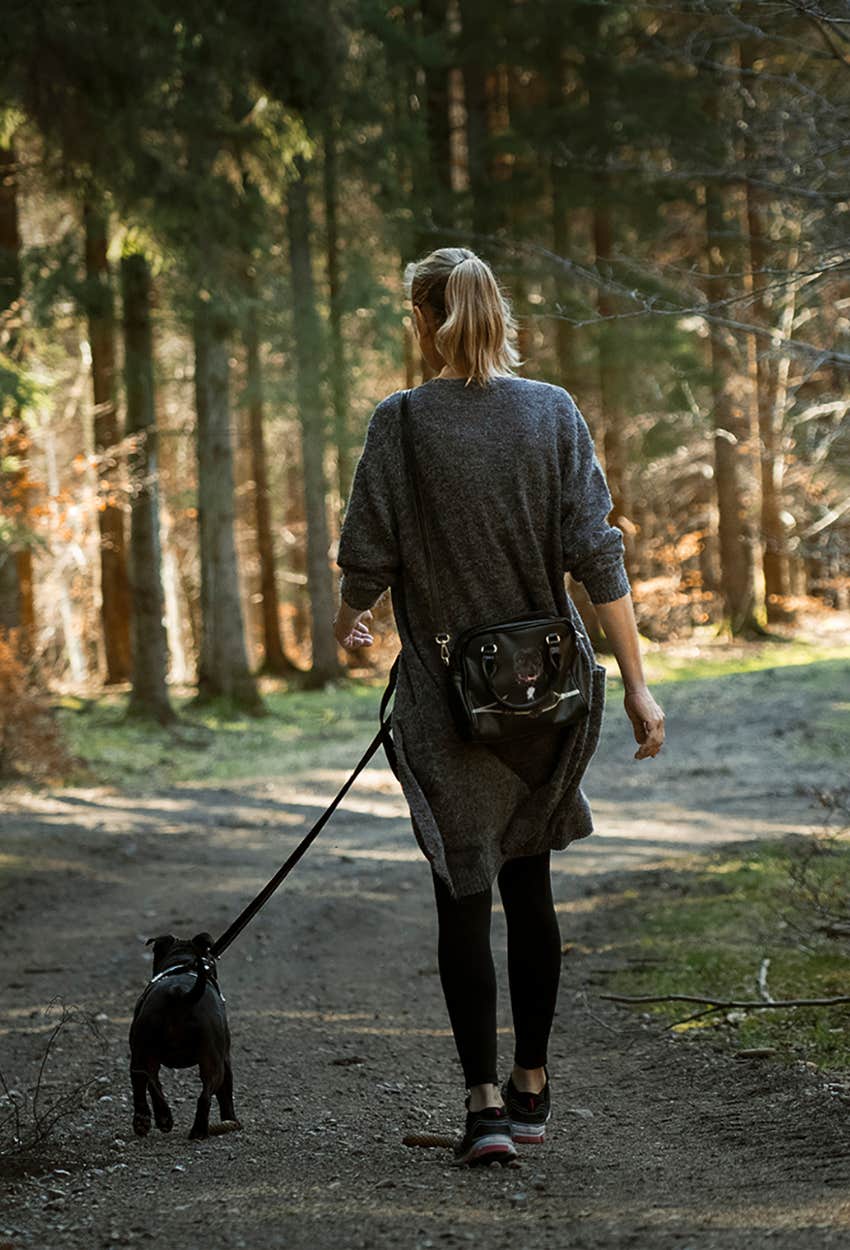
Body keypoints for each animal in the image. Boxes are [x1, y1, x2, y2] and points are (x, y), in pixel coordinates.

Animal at [131, 930, 241, 1145]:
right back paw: (198, 1130)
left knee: (147, 1081)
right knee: (204, 1095)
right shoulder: (226, 1060)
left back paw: (154, 1119)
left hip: (142, 1052)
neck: (182, 963)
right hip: (213, 1061)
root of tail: (179, 994)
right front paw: (231, 1121)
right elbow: (226, 1096)